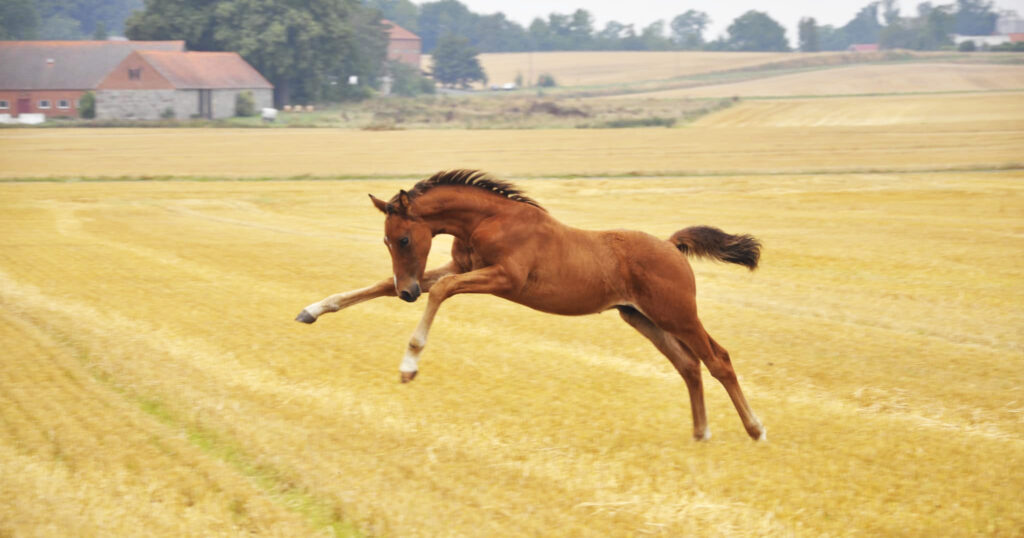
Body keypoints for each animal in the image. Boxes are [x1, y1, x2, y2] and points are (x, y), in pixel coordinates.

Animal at [299, 169, 765, 440]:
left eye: (403, 239)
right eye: (386, 241)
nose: (407, 291)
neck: (490, 221)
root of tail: (671, 246)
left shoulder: (505, 278)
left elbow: (442, 290)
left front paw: (409, 365)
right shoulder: (462, 266)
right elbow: (385, 285)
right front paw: (313, 310)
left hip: (678, 314)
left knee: (718, 359)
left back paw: (755, 428)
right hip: (642, 318)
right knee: (688, 365)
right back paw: (701, 432)